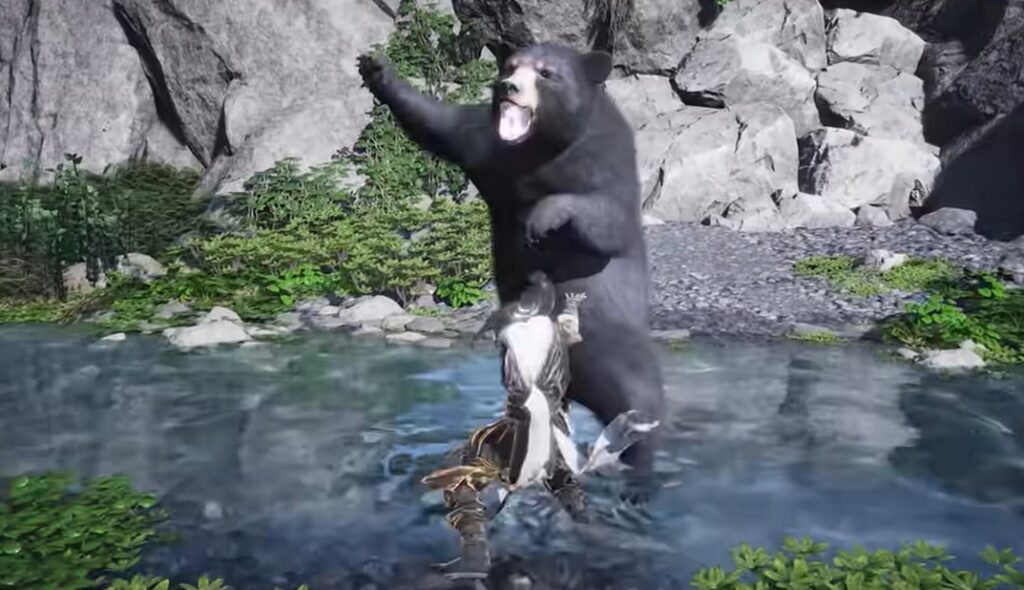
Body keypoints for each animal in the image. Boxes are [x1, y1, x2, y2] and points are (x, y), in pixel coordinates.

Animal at [356, 42, 665, 506]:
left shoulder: (600, 161)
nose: (508, 87)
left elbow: (607, 222)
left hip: (614, 345)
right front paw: (377, 70)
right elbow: (441, 125)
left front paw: (543, 217)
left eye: (546, 73)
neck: (538, 149)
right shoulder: (491, 149)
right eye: (512, 65)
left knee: (641, 404)